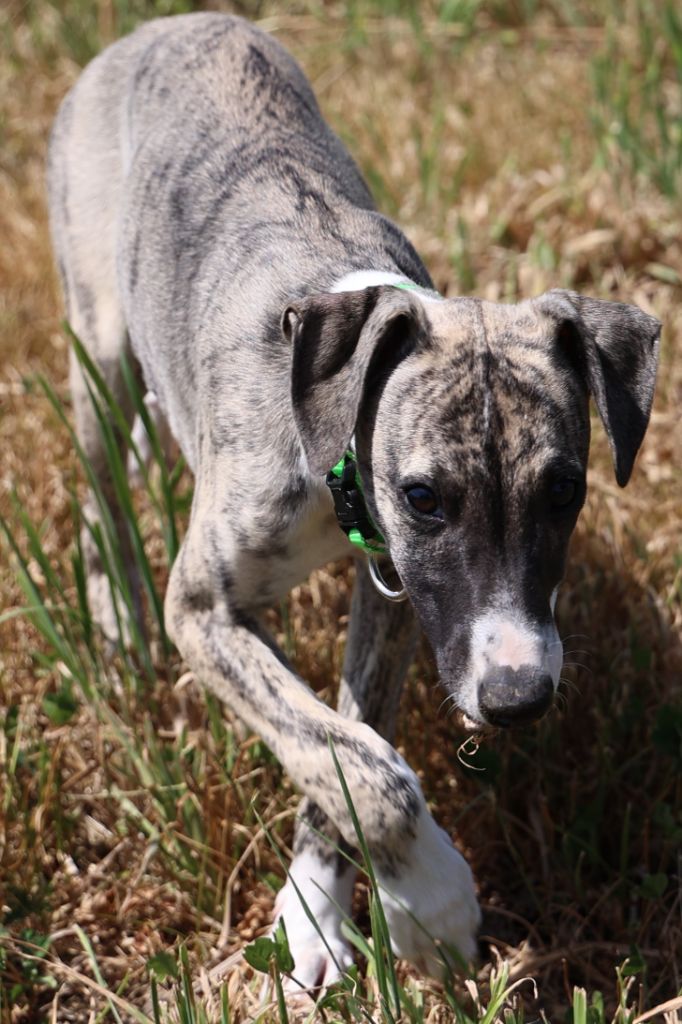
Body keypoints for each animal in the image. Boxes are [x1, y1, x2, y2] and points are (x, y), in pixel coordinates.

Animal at [47, 12, 660, 989]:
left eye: (565, 489)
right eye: (424, 496)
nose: (519, 698)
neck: (321, 414)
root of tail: (161, 24)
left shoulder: (400, 598)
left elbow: (344, 736)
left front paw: (317, 907)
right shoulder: (206, 609)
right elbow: (355, 762)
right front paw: (435, 900)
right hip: (95, 343)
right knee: (102, 483)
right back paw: (115, 622)